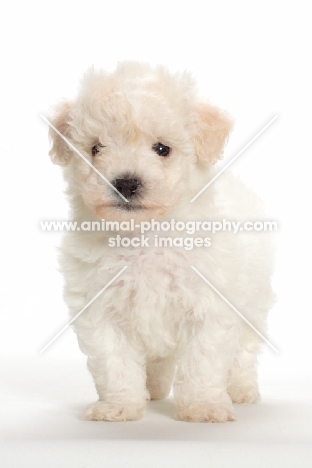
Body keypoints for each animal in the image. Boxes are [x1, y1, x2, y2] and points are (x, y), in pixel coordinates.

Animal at [47, 60, 274, 422]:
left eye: (162, 149)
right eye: (96, 148)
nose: (125, 183)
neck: (144, 236)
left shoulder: (210, 307)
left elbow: (203, 362)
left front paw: (203, 406)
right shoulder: (100, 310)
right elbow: (114, 364)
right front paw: (118, 406)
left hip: (253, 302)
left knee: (244, 351)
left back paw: (240, 390)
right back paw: (152, 389)